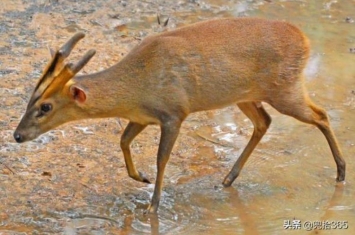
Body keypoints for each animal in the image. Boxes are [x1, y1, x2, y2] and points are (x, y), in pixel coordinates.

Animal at [14, 17, 348, 213]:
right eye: (30, 99)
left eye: (45, 107)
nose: (17, 135)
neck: (138, 85)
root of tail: (305, 39)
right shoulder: (143, 116)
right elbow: (123, 140)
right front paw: (140, 177)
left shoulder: (174, 112)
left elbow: (162, 158)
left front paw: (153, 205)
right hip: (246, 96)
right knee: (264, 122)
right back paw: (228, 178)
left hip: (284, 88)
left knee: (321, 115)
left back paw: (341, 171)